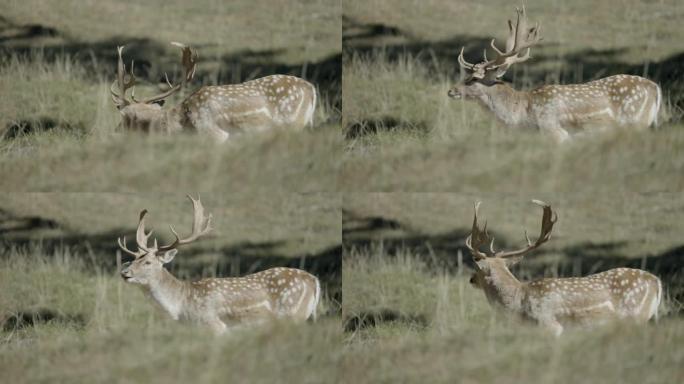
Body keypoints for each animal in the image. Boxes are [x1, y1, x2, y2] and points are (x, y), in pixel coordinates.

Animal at [117, 195, 320, 332]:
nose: (124, 273)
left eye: (148, 262)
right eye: (132, 260)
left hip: (292, 313)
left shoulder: (215, 326)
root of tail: (314, 280)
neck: (182, 307)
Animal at [446, 6, 660, 142]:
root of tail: (656, 88)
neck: (524, 115)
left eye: (473, 78)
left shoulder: (555, 132)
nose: (451, 91)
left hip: (635, 121)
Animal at [464, 201, 664, 336]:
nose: (471, 279)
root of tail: (656, 281)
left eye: (478, 269)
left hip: (635, 315)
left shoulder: (550, 326)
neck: (518, 303)